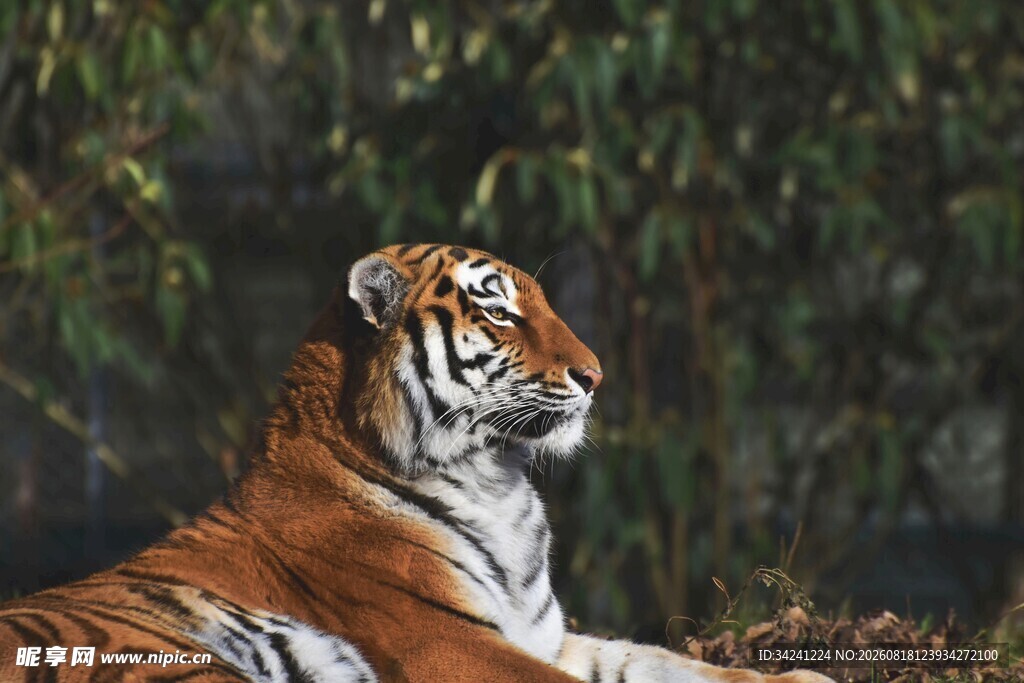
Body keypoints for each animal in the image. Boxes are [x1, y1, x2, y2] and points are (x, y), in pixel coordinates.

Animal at [0, 244, 831, 682]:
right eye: (498, 309)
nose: (596, 375)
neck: (499, 483)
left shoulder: (550, 636)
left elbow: (667, 664)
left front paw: (801, 674)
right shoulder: (451, 643)